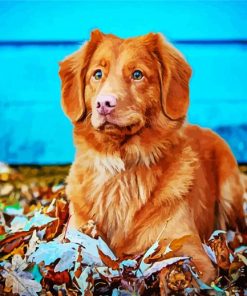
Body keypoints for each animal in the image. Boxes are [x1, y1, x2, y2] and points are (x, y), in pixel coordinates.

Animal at [58, 30, 246, 282]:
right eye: (97, 74)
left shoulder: (192, 253)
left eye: (137, 74)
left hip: (229, 190)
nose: (104, 104)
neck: (123, 166)